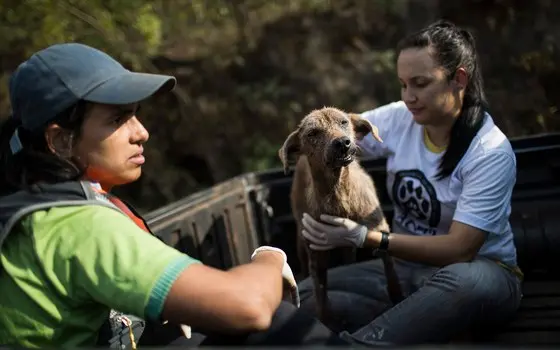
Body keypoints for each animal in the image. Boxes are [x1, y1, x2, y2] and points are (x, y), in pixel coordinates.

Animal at [278, 107, 402, 328]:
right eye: (312, 133)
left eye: (344, 122)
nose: (343, 142)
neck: (339, 193)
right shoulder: (317, 256)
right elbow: (321, 297)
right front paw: (327, 322)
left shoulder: (379, 229)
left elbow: (391, 271)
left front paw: (397, 296)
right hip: (302, 239)